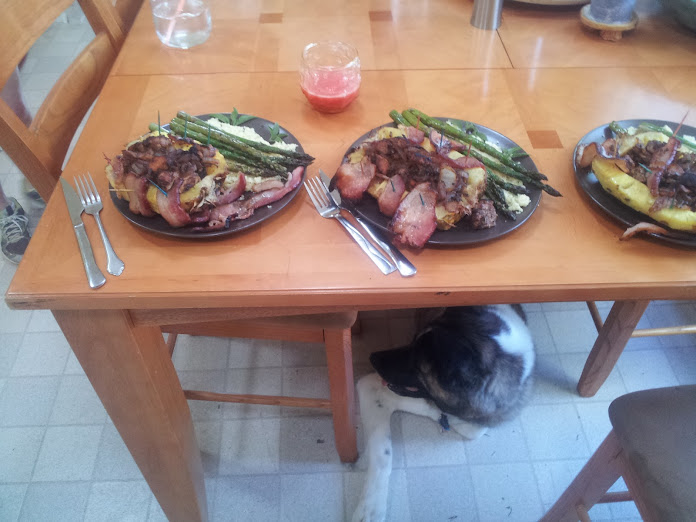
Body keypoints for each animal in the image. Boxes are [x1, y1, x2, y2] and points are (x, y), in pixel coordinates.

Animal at [352, 305, 535, 522]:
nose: (372, 357)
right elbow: (383, 455)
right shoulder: (371, 388)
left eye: (416, 363)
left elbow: (472, 428)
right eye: (412, 341)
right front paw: (370, 507)